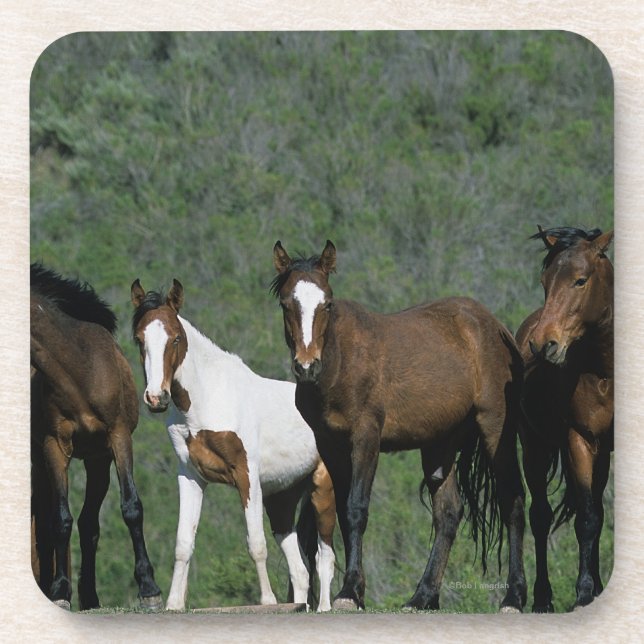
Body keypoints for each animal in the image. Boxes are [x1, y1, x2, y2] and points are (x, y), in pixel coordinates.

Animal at [30, 264, 162, 610]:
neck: (77, 370)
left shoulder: (118, 438)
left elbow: (131, 508)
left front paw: (149, 589)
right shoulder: (53, 446)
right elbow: (60, 519)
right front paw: (60, 591)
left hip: (97, 461)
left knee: (89, 524)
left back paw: (90, 596)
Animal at [130, 278, 336, 611]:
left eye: (176, 338)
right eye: (139, 340)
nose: (156, 398)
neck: (207, 399)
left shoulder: (246, 475)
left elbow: (256, 544)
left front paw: (267, 601)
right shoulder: (191, 477)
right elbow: (183, 543)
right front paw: (174, 603)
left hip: (323, 488)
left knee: (324, 556)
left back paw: (324, 608)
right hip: (281, 500)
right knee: (300, 570)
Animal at [271, 240, 527, 612]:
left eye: (327, 303)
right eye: (286, 303)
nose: (307, 366)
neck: (340, 362)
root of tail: (494, 327)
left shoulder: (366, 439)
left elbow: (356, 509)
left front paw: (349, 592)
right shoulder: (330, 446)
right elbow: (345, 513)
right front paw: (356, 591)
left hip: (495, 429)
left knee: (513, 501)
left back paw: (514, 596)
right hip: (439, 444)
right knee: (448, 514)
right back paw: (423, 596)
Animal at [515, 226, 614, 612]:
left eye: (581, 280)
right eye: (545, 281)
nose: (544, 344)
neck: (603, 372)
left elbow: (596, 516)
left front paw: (592, 589)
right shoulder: (579, 440)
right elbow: (586, 519)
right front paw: (583, 593)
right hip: (535, 448)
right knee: (540, 516)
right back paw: (543, 599)